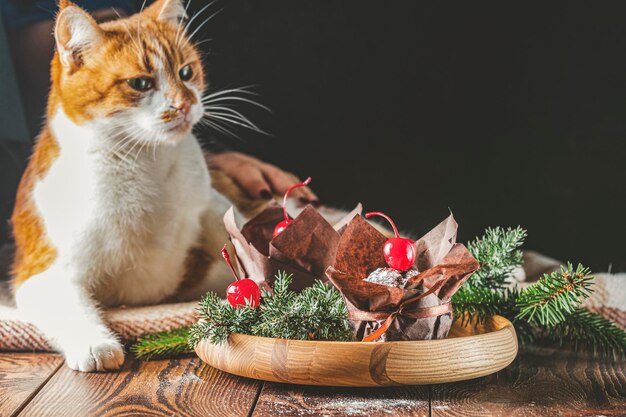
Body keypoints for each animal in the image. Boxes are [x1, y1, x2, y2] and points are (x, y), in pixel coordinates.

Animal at [11, 0, 280, 370]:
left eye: (185, 73)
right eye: (140, 83)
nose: (185, 105)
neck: (144, 166)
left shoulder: (211, 206)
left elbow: (241, 237)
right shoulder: (42, 273)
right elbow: (69, 308)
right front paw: (96, 344)